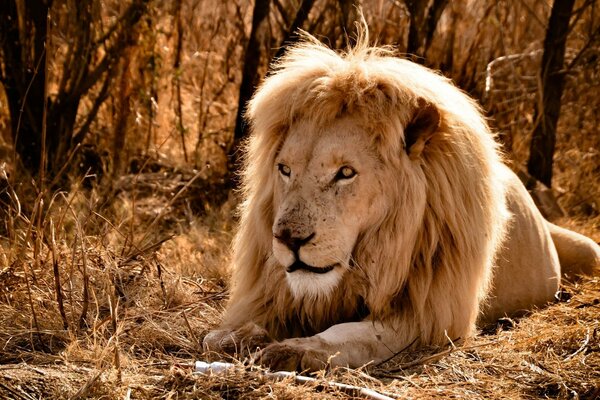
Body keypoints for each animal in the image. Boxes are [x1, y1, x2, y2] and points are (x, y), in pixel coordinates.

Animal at [203, 32, 600, 372]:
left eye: (345, 173)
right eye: (284, 170)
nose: (288, 240)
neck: (378, 249)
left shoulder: (429, 315)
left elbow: (352, 334)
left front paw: (294, 349)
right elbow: (215, 337)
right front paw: (239, 336)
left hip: (588, 250)